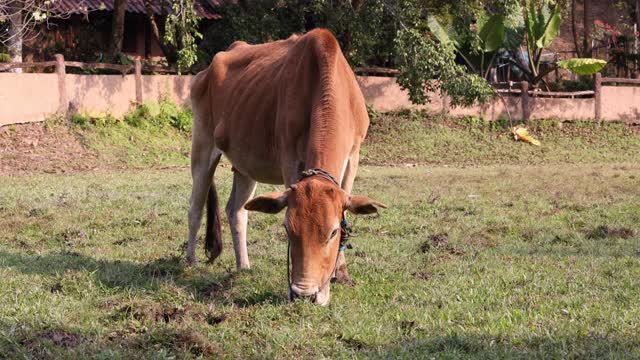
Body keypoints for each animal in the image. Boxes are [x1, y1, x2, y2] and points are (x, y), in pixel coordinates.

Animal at [185, 28, 384, 306]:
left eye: (333, 233)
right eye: (288, 229)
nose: (304, 294)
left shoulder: (353, 155)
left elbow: (346, 214)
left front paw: (342, 274)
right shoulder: (289, 156)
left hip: (245, 166)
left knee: (236, 210)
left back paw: (243, 265)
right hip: (202, 146)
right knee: (195, 207)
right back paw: (190, 261)